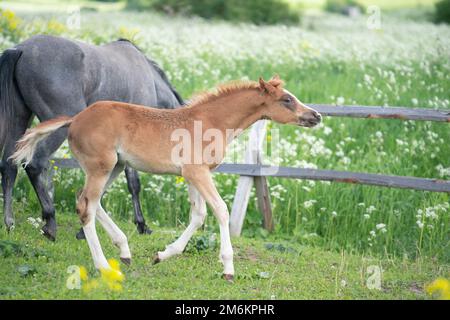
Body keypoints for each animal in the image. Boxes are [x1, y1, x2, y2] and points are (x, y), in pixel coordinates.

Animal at [0, 34, 183, 240]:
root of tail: (20, 49)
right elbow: (131, 184)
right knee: (34, 164)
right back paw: (50, 224)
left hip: (20, 120)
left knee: (9, 166)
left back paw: (9, 224)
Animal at [10, 75, 320, 280]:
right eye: (287, 100)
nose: (315, 115)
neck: (211, 122)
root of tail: (75, 119)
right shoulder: (197, 172)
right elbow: (220, 210)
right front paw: (228, 268)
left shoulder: (194, 175)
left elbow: (198, 215)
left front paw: (162, 255)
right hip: (101, 167)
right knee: (86, 206)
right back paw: (103, 266)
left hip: (115, 167)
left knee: (88, 202)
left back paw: (124, 251)